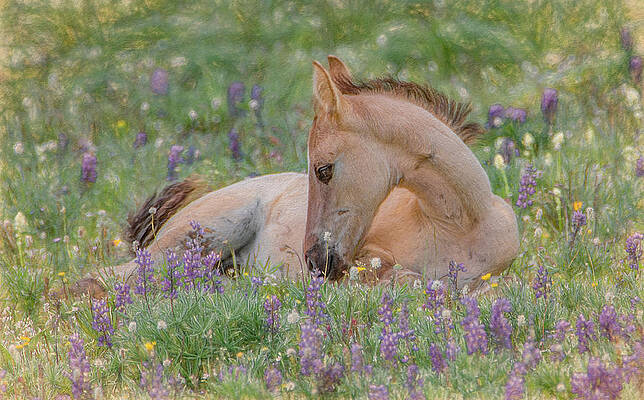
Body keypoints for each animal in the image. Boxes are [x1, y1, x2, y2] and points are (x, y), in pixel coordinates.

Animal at [73, 56, 518, 296]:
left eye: (323, 169)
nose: (317, 263)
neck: (459, 222)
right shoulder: (367, 255)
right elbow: (403, 277)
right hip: (193, 240)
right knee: (97, 278)